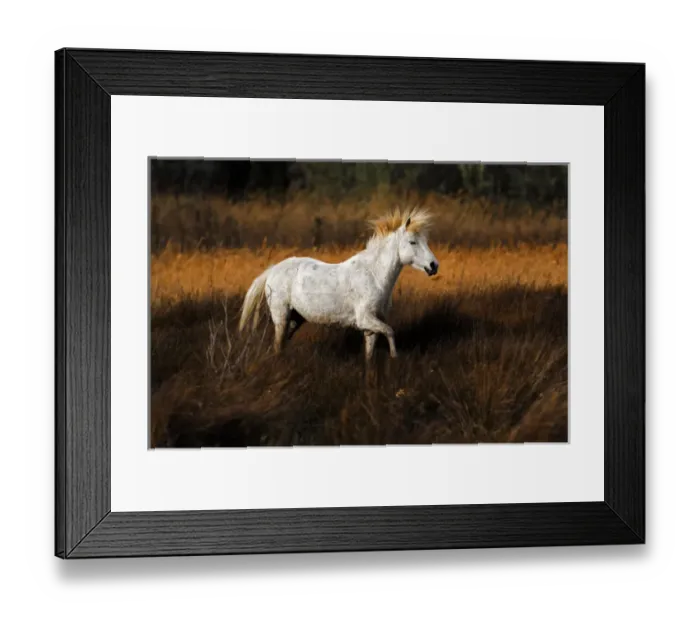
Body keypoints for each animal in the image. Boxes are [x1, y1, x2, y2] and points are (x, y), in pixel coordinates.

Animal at [238, 207, 439, 361]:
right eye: (412, 242)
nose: (433, 266)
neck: (374, 275)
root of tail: (273, 270)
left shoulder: (370, 327)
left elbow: (370, 356)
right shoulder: (364, 319)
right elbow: (390, 332)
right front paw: (394, 356)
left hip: (295, 319)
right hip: (281, 316)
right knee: (278, 346)